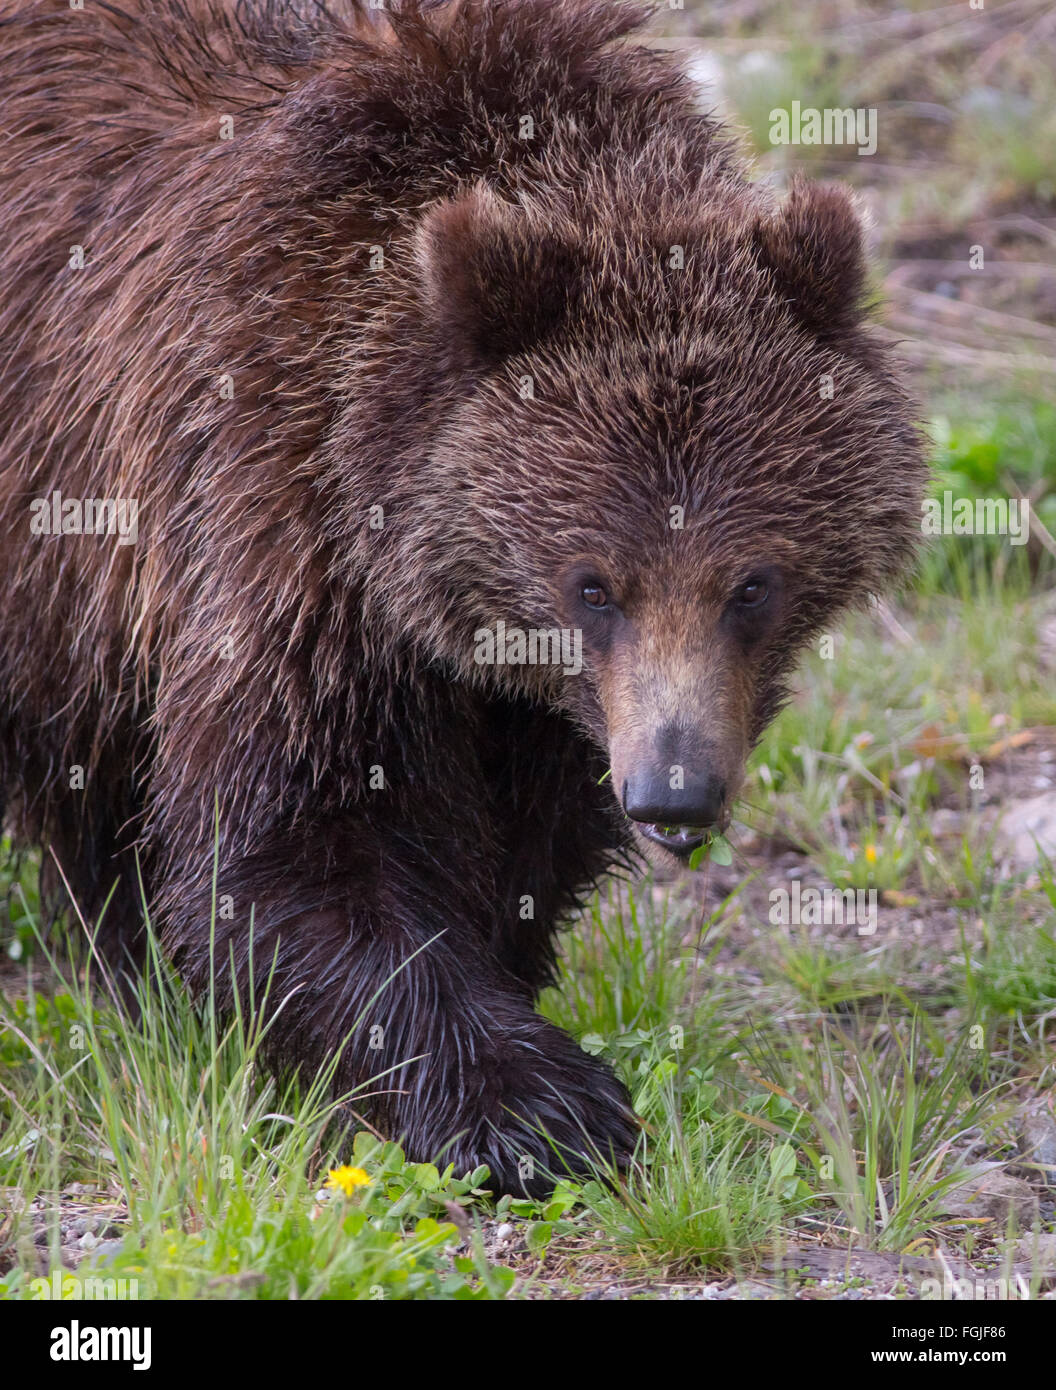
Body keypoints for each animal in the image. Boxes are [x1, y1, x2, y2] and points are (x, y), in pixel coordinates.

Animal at [0, 2, 922, 1195]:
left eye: (752, 583)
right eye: (594, 583)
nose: (674, 793)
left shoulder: (539, 701)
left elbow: (529, 835)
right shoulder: (276, 515)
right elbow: (298, 838)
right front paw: (539, 1105)